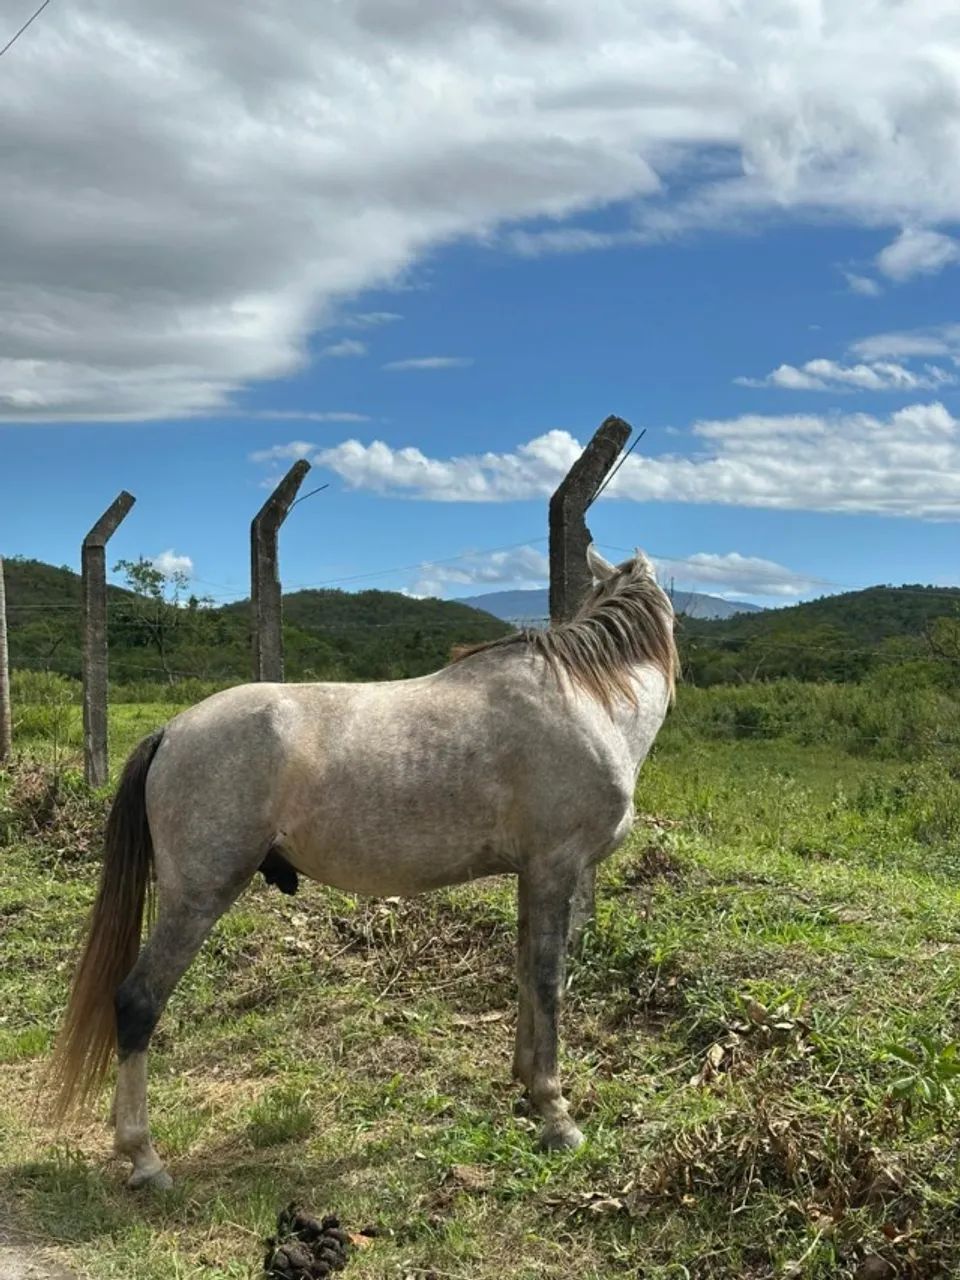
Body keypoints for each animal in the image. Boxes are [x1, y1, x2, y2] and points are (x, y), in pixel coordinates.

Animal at [48, 546, 678, 1189]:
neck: (589, 703)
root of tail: (172, 731)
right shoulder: (556, 869)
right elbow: (550, 983)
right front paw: (556, 1114)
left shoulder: (531, 876)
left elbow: (528, 975)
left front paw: (526, 1088)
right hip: (196, 899)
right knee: (137, 1002)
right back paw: (144, 1156)